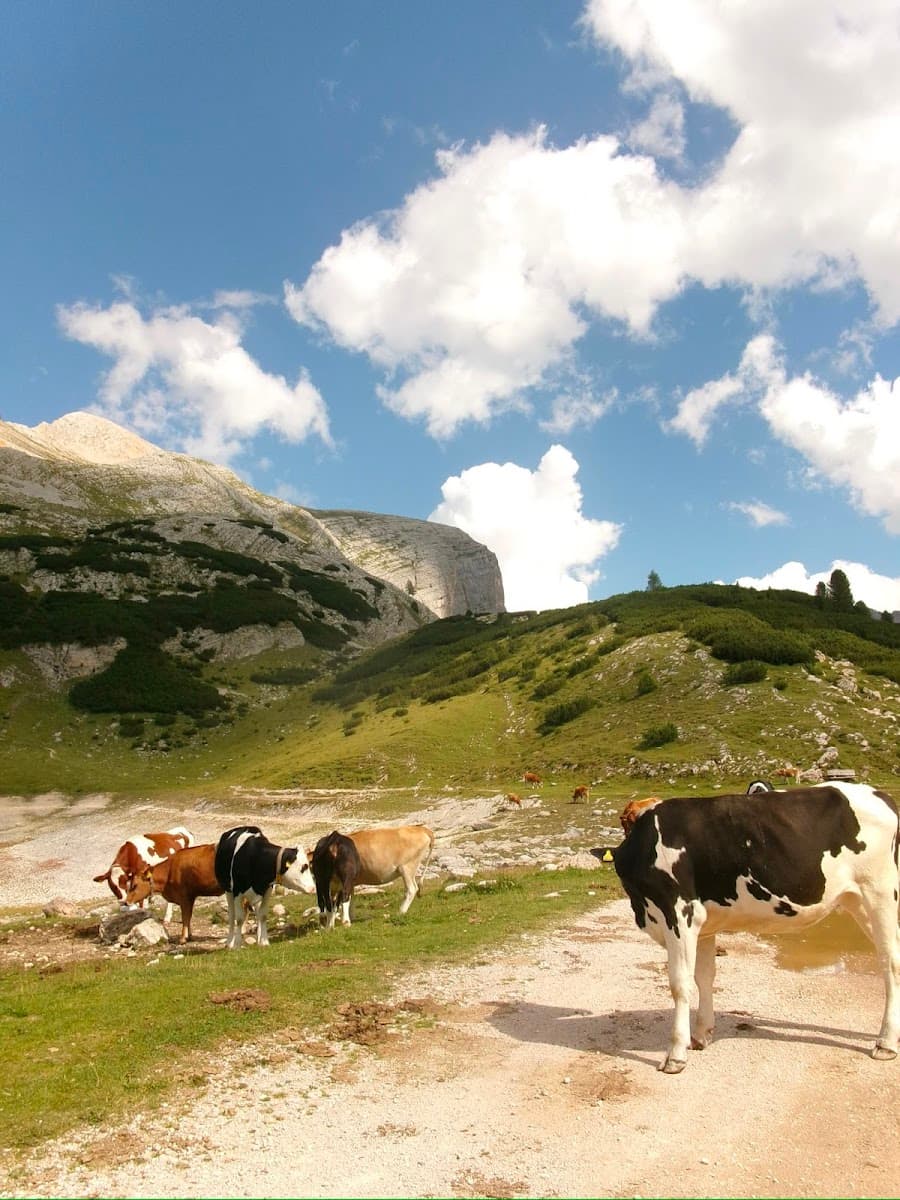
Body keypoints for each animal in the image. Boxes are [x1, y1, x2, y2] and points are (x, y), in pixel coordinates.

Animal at [612, 783, 900, 1073]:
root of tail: (878, 794)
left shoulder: (679, 913)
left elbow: (680, 984)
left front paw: (675, 1055)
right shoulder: (704, 925)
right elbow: (704, 977)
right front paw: (701, 1035)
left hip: (880, 893)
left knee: (891, 962)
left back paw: (886, 1043)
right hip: (858, 901)